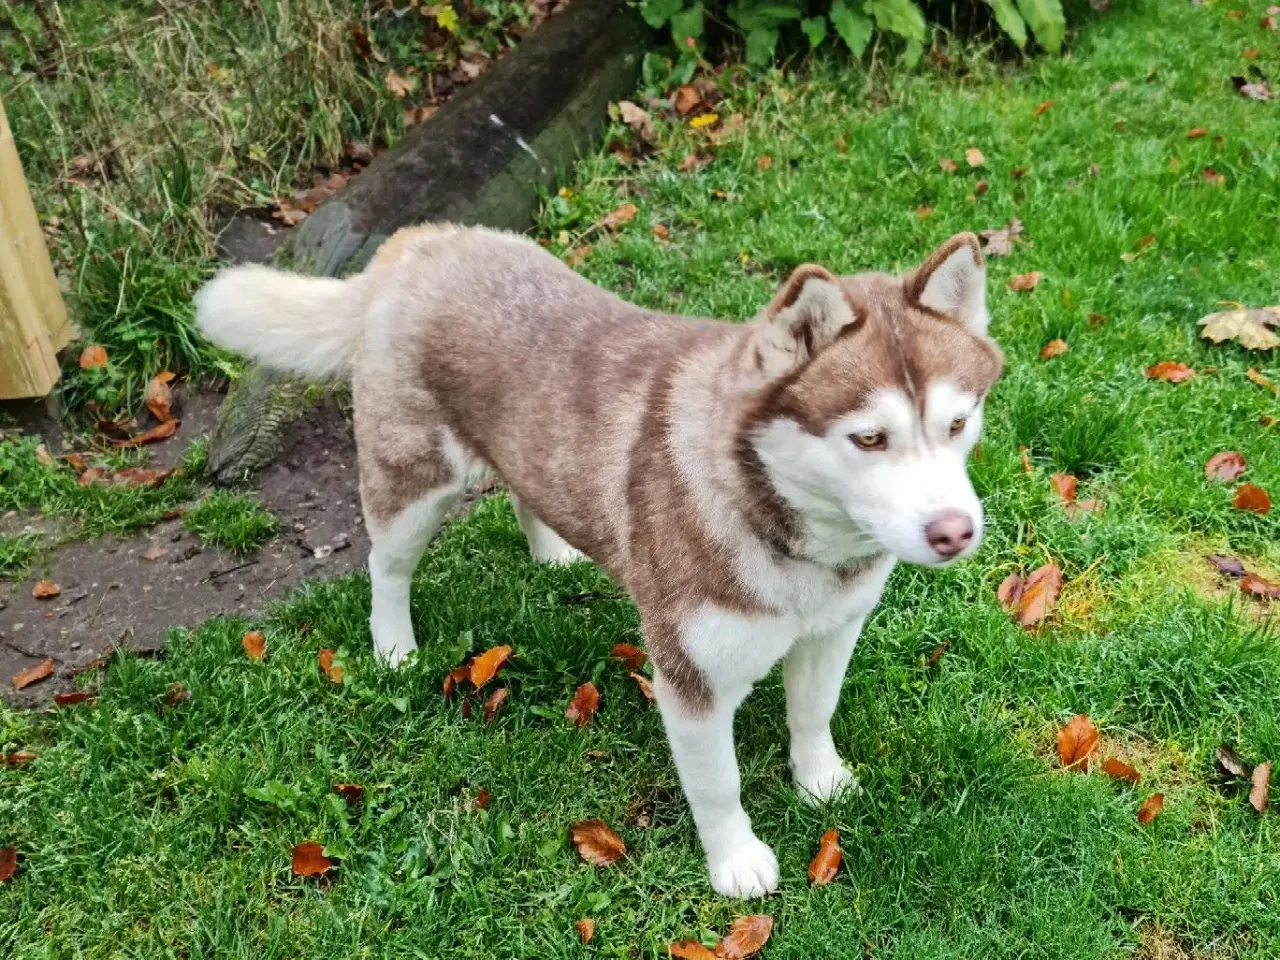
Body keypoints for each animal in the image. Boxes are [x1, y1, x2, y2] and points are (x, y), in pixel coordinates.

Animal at [194, 225, 1003, 901]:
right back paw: (395, 646)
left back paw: (552, 556)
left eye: (957, 423)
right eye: (869, 438)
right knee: (385, 567)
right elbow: (718, 785)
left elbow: (813, 712)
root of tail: (420, 239)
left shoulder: (833, 628)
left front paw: (820, 782)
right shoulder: (691, 677)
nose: (954, 532)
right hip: (414, 484)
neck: (782, 522)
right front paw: (735, 861)